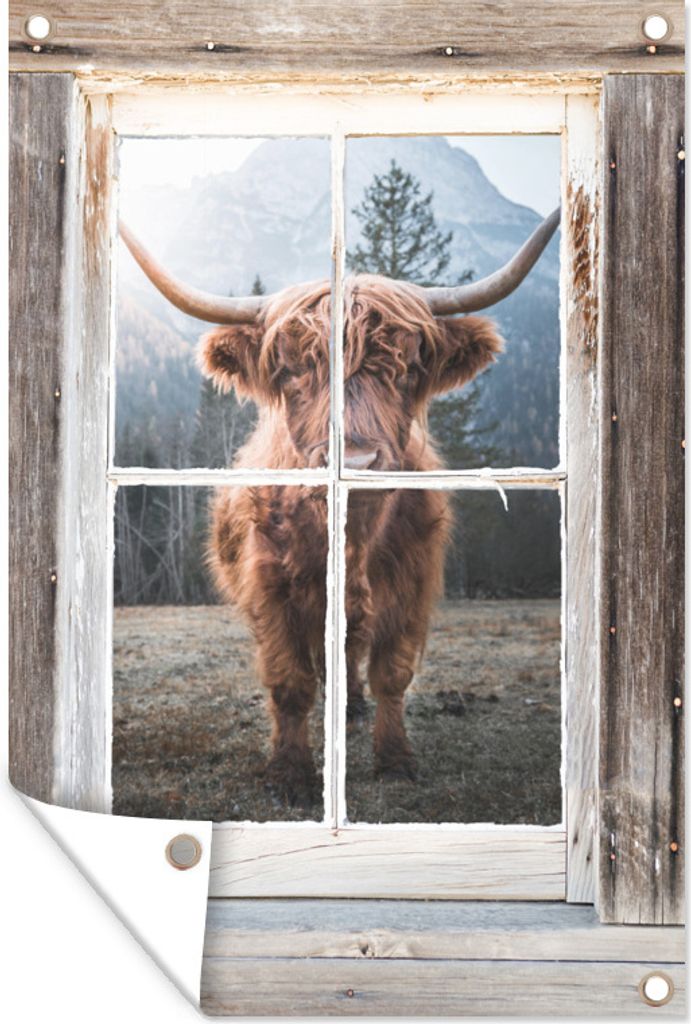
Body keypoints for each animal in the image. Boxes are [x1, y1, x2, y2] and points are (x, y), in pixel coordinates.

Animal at [120, 209, 559, 805]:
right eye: (289, 370)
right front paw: (288, 774)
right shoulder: (270, 588)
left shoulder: (411, 583)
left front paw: (395, 760)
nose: (355, 460)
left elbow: (391, 673)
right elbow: (290, 682)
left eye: (408, 367)